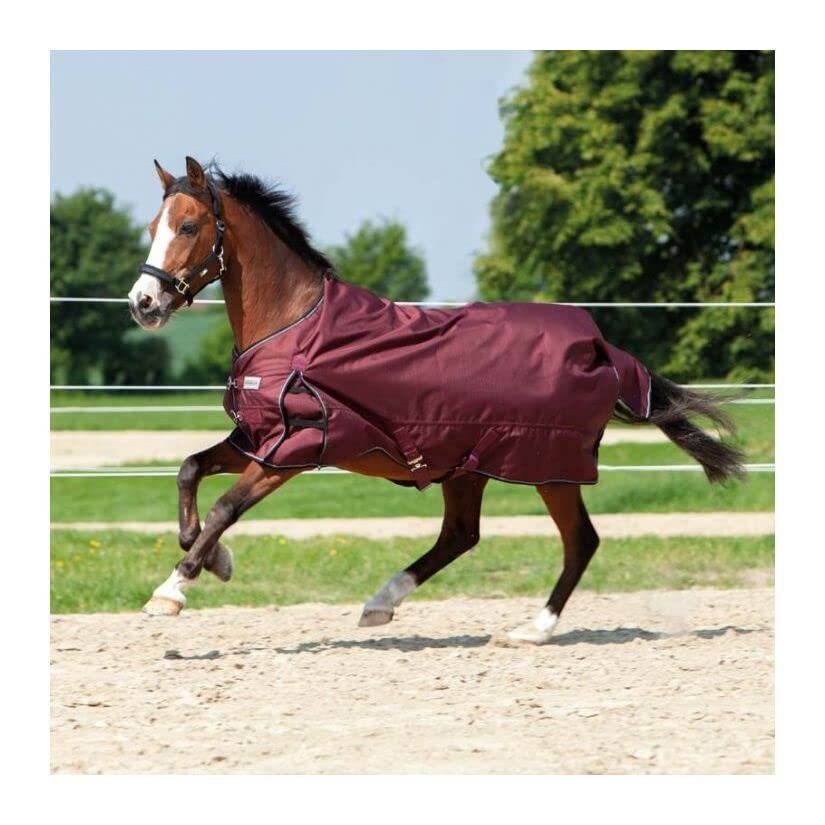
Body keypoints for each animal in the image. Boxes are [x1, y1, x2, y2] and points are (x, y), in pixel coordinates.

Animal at [127, 156, 745, 644]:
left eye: (188, 225)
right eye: (154, 225)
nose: (143, 303)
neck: (293, 325)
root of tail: (599, 346)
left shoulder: (295, 448)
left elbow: (225, 507)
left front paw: (172, 589)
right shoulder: (257, 439)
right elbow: (189, 470)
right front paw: (216, 561)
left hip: (548, 467)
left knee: (579, 541)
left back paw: (532, 630)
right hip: (467, 467)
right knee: (461, 536)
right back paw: (382, 603)